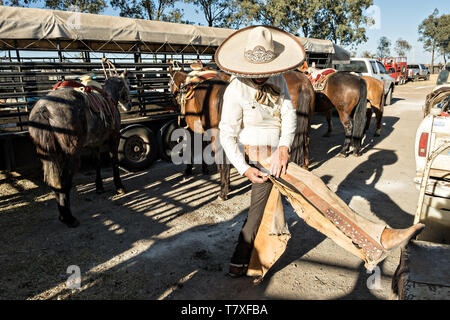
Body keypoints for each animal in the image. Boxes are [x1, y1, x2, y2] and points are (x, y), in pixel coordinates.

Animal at [28, 70, 131, 228]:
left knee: (56, 181)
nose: (129, 105)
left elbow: (97, 163)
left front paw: (99, 187)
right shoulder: (114, 138)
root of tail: (44, 109)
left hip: (51, 155)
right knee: (64, 180)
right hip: (71, 154)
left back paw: (63, 215)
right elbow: (114, 161)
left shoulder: (95, 144)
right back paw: (69, 218)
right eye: (127, 85)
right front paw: (119, 187)